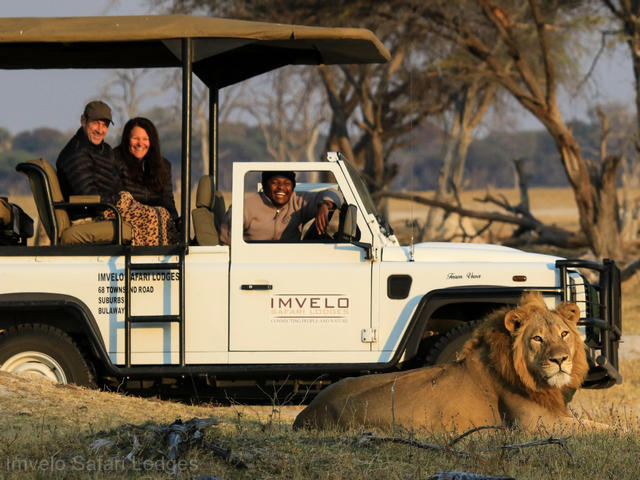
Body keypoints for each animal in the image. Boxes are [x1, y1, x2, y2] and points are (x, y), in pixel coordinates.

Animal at [293, 292, 602, 433]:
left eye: (564, 334)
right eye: (537, 338)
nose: (560, 359)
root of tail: (305, 414)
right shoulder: (537, 424)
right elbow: (604, 429)